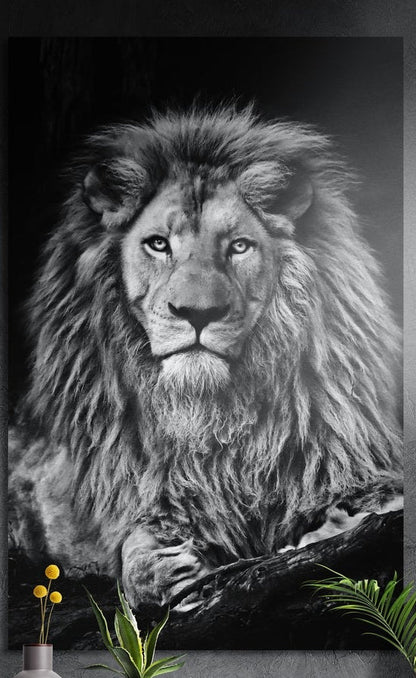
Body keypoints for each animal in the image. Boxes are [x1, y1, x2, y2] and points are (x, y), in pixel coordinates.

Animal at [9, 104, 403, 609]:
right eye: (158, 243)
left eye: (239, 246)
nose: (197, 313)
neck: (213, 420)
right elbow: (133, 552)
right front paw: (166, 567)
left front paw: (329, 528)